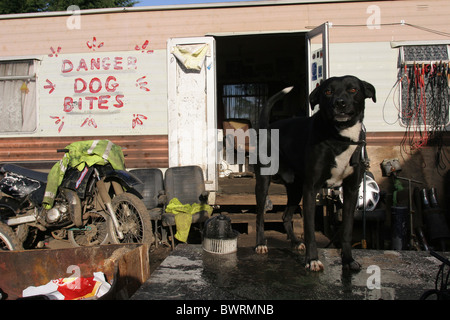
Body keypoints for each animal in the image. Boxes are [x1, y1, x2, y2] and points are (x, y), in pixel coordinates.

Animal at [255, 76, 374, 272]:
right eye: (328, 91)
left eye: (353, 90)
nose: (340, 103)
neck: (340, 138)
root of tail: (268, 128)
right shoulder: (311, 189)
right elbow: (310, 231)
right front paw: (312, 260)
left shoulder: (351, 191)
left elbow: (347, 230)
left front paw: (348, 260)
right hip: (264, 183)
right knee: (260, 216)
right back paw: (260, 244)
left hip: (295, 189)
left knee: (286, 216)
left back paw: (295, 242)